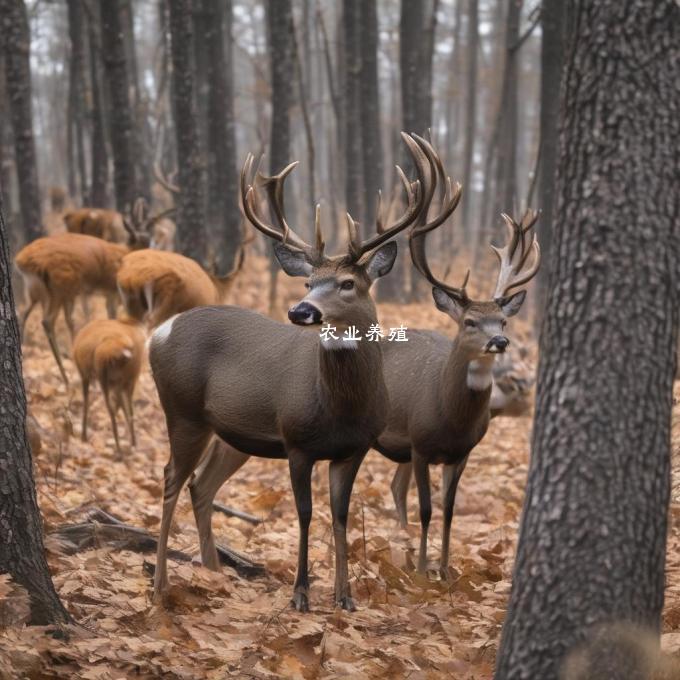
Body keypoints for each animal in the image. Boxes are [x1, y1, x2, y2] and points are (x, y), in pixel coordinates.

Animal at [146, 134, 452, 612]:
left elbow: (341, 515)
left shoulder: (354, 448)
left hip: (232, 433)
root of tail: (158, 332)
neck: (339, 407)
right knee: (170, 479)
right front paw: (301, 594)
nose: (300, 310)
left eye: (348, 283)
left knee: (201, 485)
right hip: (183, 411)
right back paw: (161, 586)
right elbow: (305, 514)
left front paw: (345, 596)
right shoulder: (296, 441)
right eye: (308, 283)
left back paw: (214, 575)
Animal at [374, 138, 540, 580]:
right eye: (469, 321)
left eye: (502, 319)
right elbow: (428, 509)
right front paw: (421, 569)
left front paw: (446, 570)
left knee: (395, 487)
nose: (499, 341)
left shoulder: (462, 452)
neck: (449, 416)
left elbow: (449, 510)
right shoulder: (419, 443)